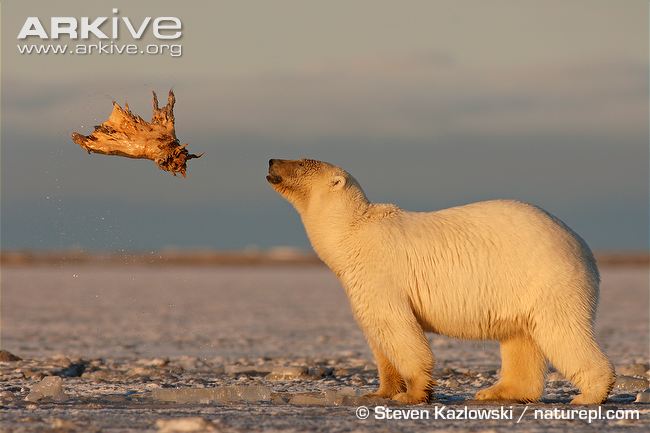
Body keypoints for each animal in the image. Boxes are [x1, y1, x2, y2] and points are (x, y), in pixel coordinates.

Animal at [266, 158, 614, 405]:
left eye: (301, 161)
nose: (270, 161)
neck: (351, 233)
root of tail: (584, 247)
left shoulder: (380, 275)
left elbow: (398, 330)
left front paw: (412, 393)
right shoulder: (359, 282)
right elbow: (379, 337)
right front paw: (379, 392)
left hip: (547, 279)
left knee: (562, 332)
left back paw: (589, 394)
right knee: (520, 338)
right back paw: (497, 391)